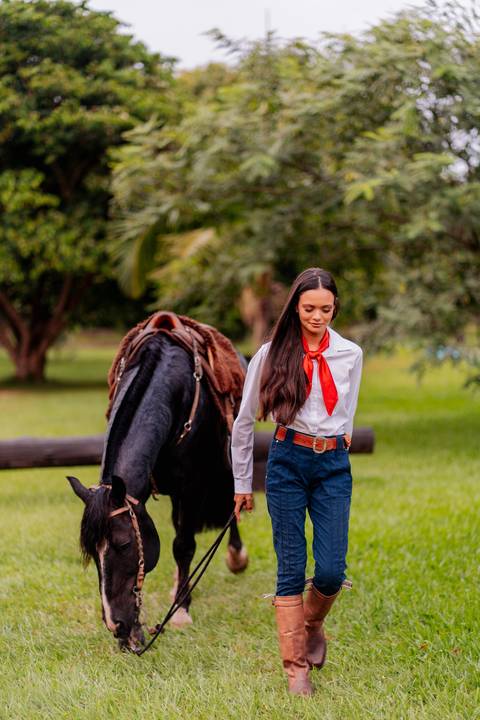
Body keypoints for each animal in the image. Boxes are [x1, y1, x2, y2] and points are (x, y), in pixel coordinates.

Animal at [68, 332, 248, 653]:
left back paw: (235, 557)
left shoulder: (191, 486)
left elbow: (184, 545)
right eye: (91, 553)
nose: (116, 624)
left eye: (124, 544)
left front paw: (181, 610)